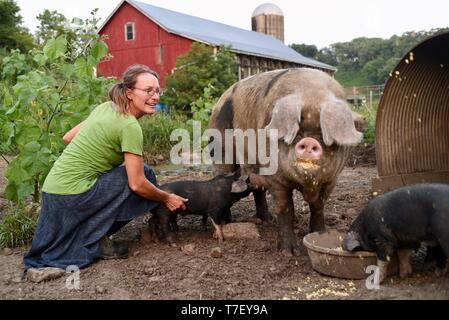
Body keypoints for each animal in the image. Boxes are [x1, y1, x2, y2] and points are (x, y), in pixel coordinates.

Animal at [206, 69, 364, 254]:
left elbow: (318, 206)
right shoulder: (276, 177)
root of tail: (219, 101)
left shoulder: (332, 180)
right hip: (220, 148)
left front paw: (318, 234)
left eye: (323, 133)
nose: (309, 142)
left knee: (258, 189)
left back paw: (267, 219)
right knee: (222, 178)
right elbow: (285, 208)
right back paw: (228, 221)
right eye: (298, 131)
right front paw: (289, 253)